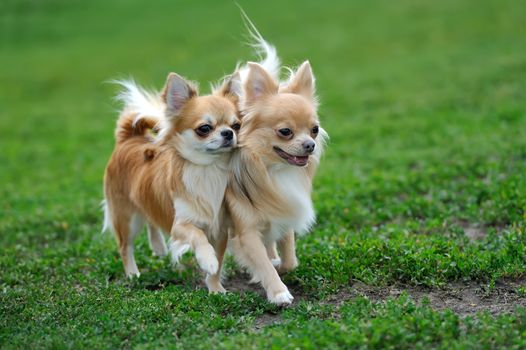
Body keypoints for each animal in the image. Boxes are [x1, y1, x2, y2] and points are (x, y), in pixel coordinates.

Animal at [102, 72, 241, 292]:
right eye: (204, 128)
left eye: (237, 125)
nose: (228, 133)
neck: (209, 169)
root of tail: (128, 138)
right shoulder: (180, 225)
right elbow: (198, 235)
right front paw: (207, 259)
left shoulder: (220, 231)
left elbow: (218, 266)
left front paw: (216, 289)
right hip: (126, 217)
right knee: (125, 246)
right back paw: (133, 274)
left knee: (150, 216)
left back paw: (158, 246)